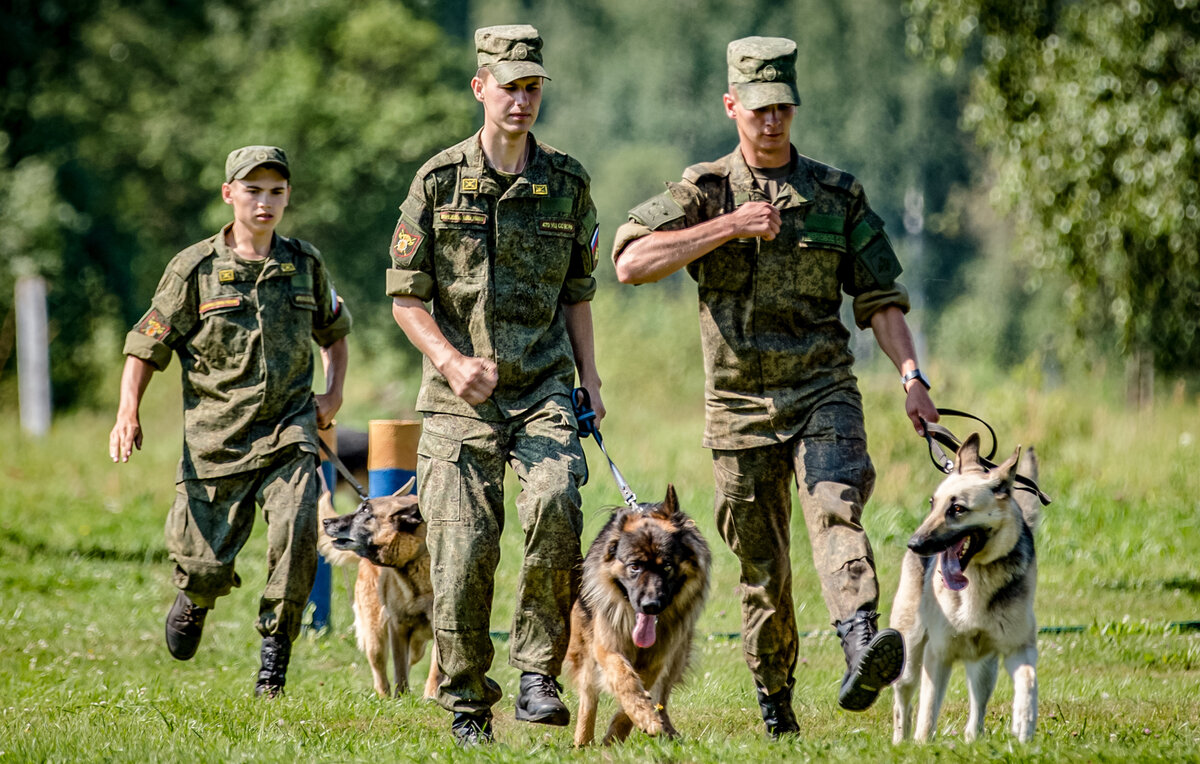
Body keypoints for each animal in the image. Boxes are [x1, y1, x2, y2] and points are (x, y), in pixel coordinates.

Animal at [316, 479, 439, 700]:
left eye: (366, 510)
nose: (326, 522)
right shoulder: (397, 626)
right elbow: (399, 668)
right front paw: (401, 697)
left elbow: (434, 669)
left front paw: (431, 697)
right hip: (375, 635)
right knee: (380, 671)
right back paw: (385, 696)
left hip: (416, 645)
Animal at [564, 484, 710, 743]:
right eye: (634, 567)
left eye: (667, 566)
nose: (651, 605)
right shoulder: (607, 647)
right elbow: (625, 680)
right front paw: (641, 717)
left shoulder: (658, 658)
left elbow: (643, 689)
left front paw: (619, 734)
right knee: (589, 695)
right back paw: (583, 741)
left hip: (678, 654)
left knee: (662, 695)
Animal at [892, 434, 1041, 738]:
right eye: (933, 503)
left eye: (958, 509)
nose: (914, 544)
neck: (978, 577)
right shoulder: (937, 655)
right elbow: (927, 714)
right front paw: (922, 743)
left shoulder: (1019, 649)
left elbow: (1029, 680)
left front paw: (1024, 721)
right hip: (910, 658)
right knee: (903, 704)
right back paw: (900, 741)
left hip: (985, 669)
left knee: (976, 714)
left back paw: (974, 739)